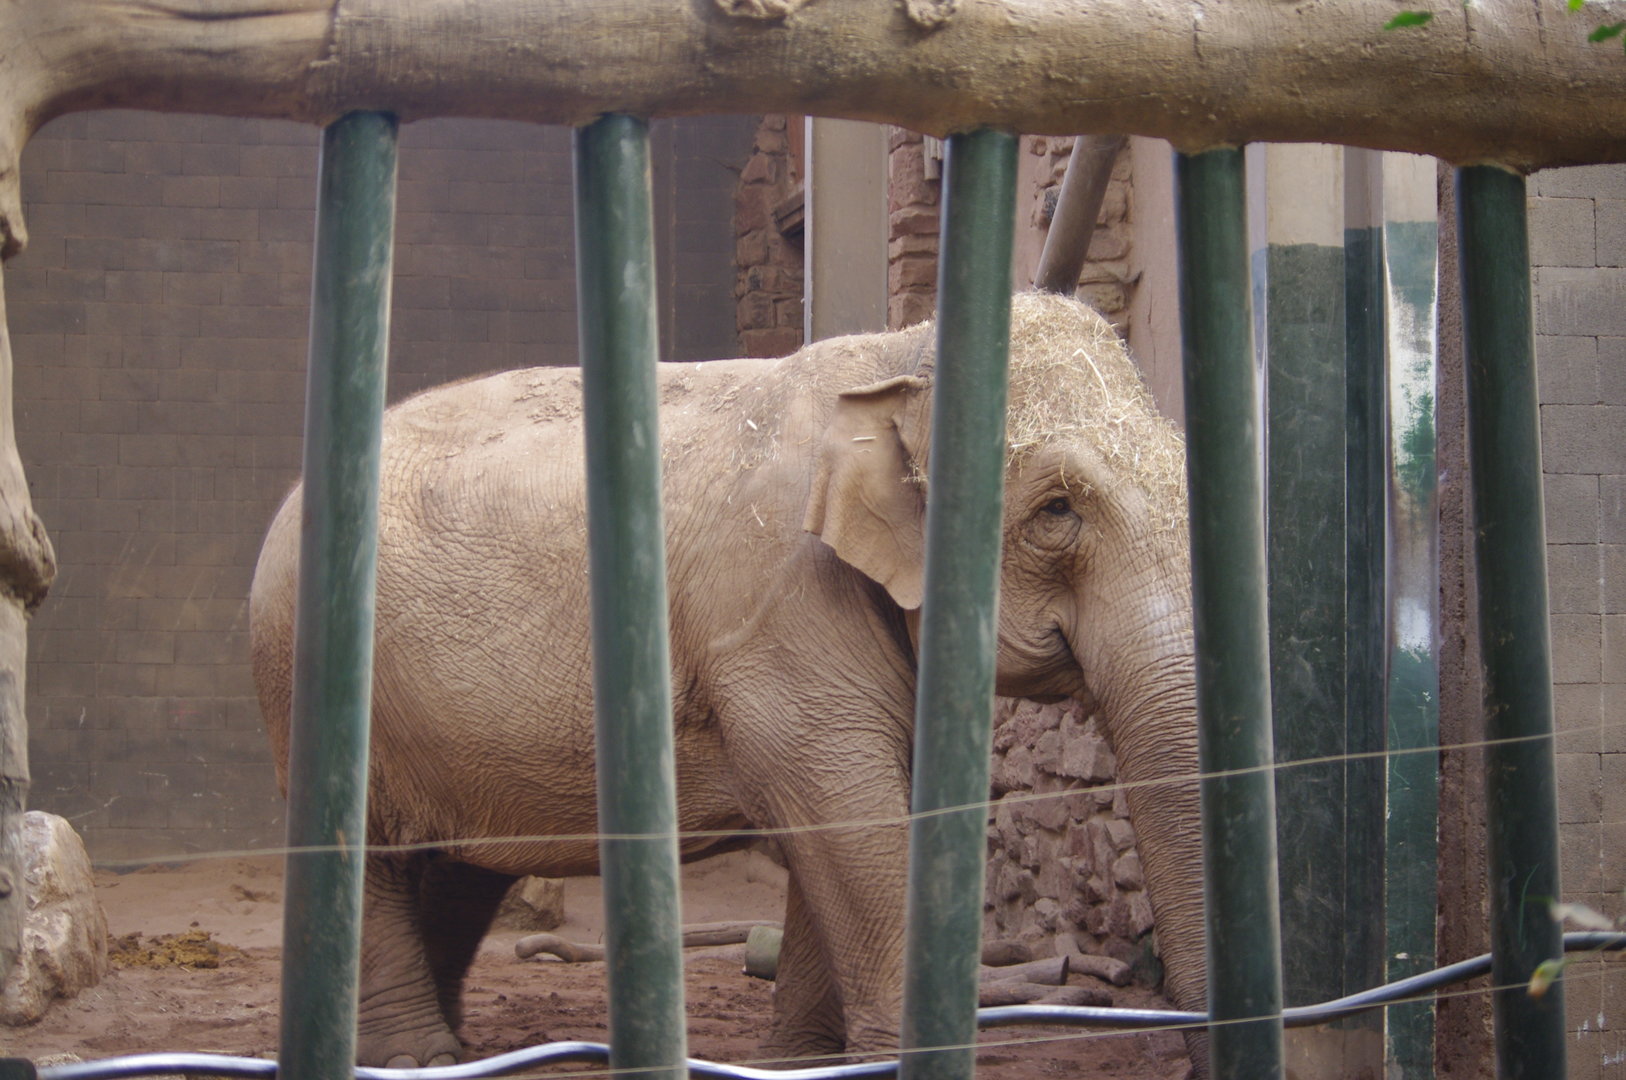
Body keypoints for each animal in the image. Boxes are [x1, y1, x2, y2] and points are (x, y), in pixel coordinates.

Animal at [249, 291, 1203, 1069]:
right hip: (304, 674)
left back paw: (443, 1049)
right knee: (366, 853)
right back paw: (413, 1059)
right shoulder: (776, 602)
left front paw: (801, 1064)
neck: (899, 357)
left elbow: (849, 814)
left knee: (461, 863)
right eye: (1057, 509)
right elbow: (839, 798)